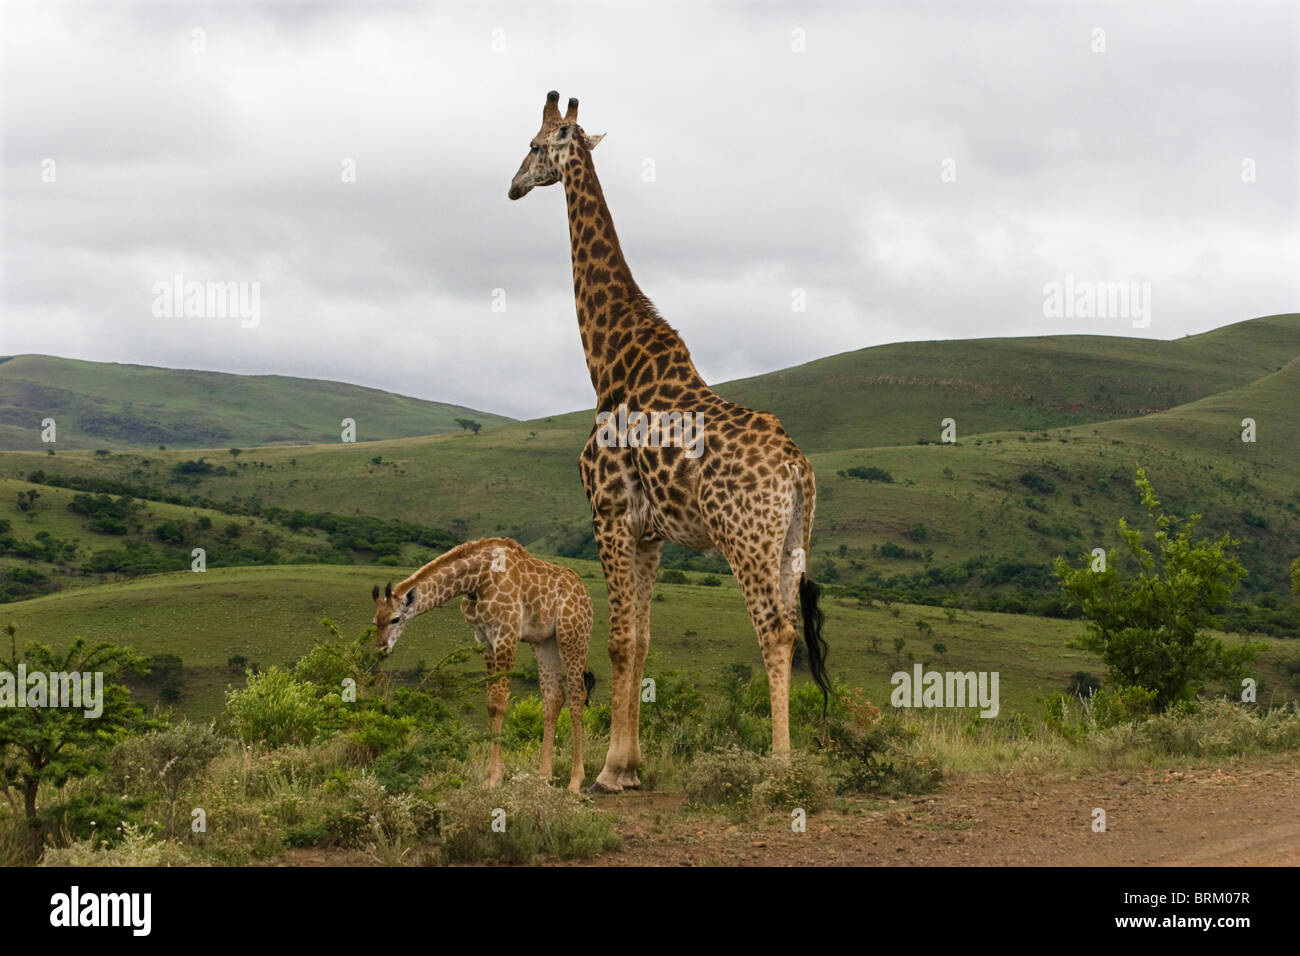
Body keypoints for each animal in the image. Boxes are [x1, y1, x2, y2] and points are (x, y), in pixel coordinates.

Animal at [370, 537, 596, 793]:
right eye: (375, 621)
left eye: (395, 619)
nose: (381, 649)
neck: (476, 580)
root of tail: (586, 595)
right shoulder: (484, 640)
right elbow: (491, 703)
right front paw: (492, 775)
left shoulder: (506, 634)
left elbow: (500, 702)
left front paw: (494, 777)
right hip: (544, 641)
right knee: (554, 696)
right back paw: (543, 776)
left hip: (572, 636)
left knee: (577, 695)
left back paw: (575, 781)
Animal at [508, 91, 831, 793]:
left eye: (536, 144)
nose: (512, 186)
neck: (607, 358)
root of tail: (798, 469)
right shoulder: (650, 532)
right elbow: (642, 640)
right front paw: (629, 767)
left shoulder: (607, 514)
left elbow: (618, 641)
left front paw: (606, 773)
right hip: (792, 542)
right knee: (794, 628)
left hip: (745, 538)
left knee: (775, 631)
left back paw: (780, 766)